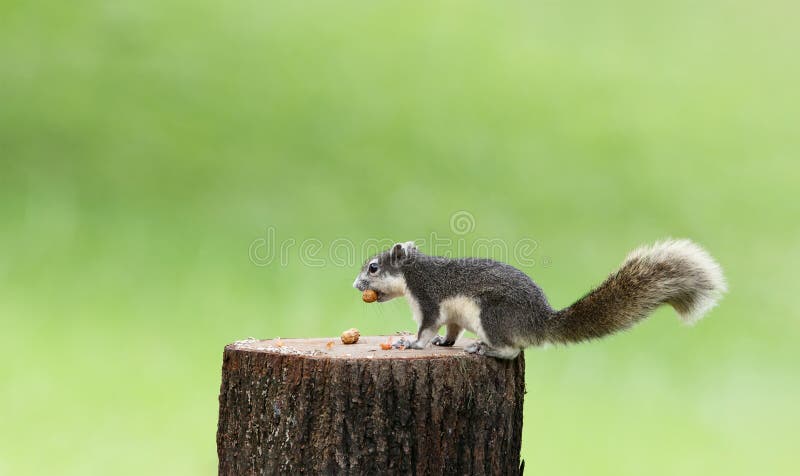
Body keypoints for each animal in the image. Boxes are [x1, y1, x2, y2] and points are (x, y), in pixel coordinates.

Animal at [353, 240, 726, 359]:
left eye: (373, 267)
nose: (357, 285)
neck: (413, 272)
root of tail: (538, 322)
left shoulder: (428, 298)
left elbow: (427, 327)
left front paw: (412, 344)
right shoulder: (455, 314)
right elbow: (451, 330)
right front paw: (444, 344)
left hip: (492, 314)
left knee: (511, 350)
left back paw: (486, 349)